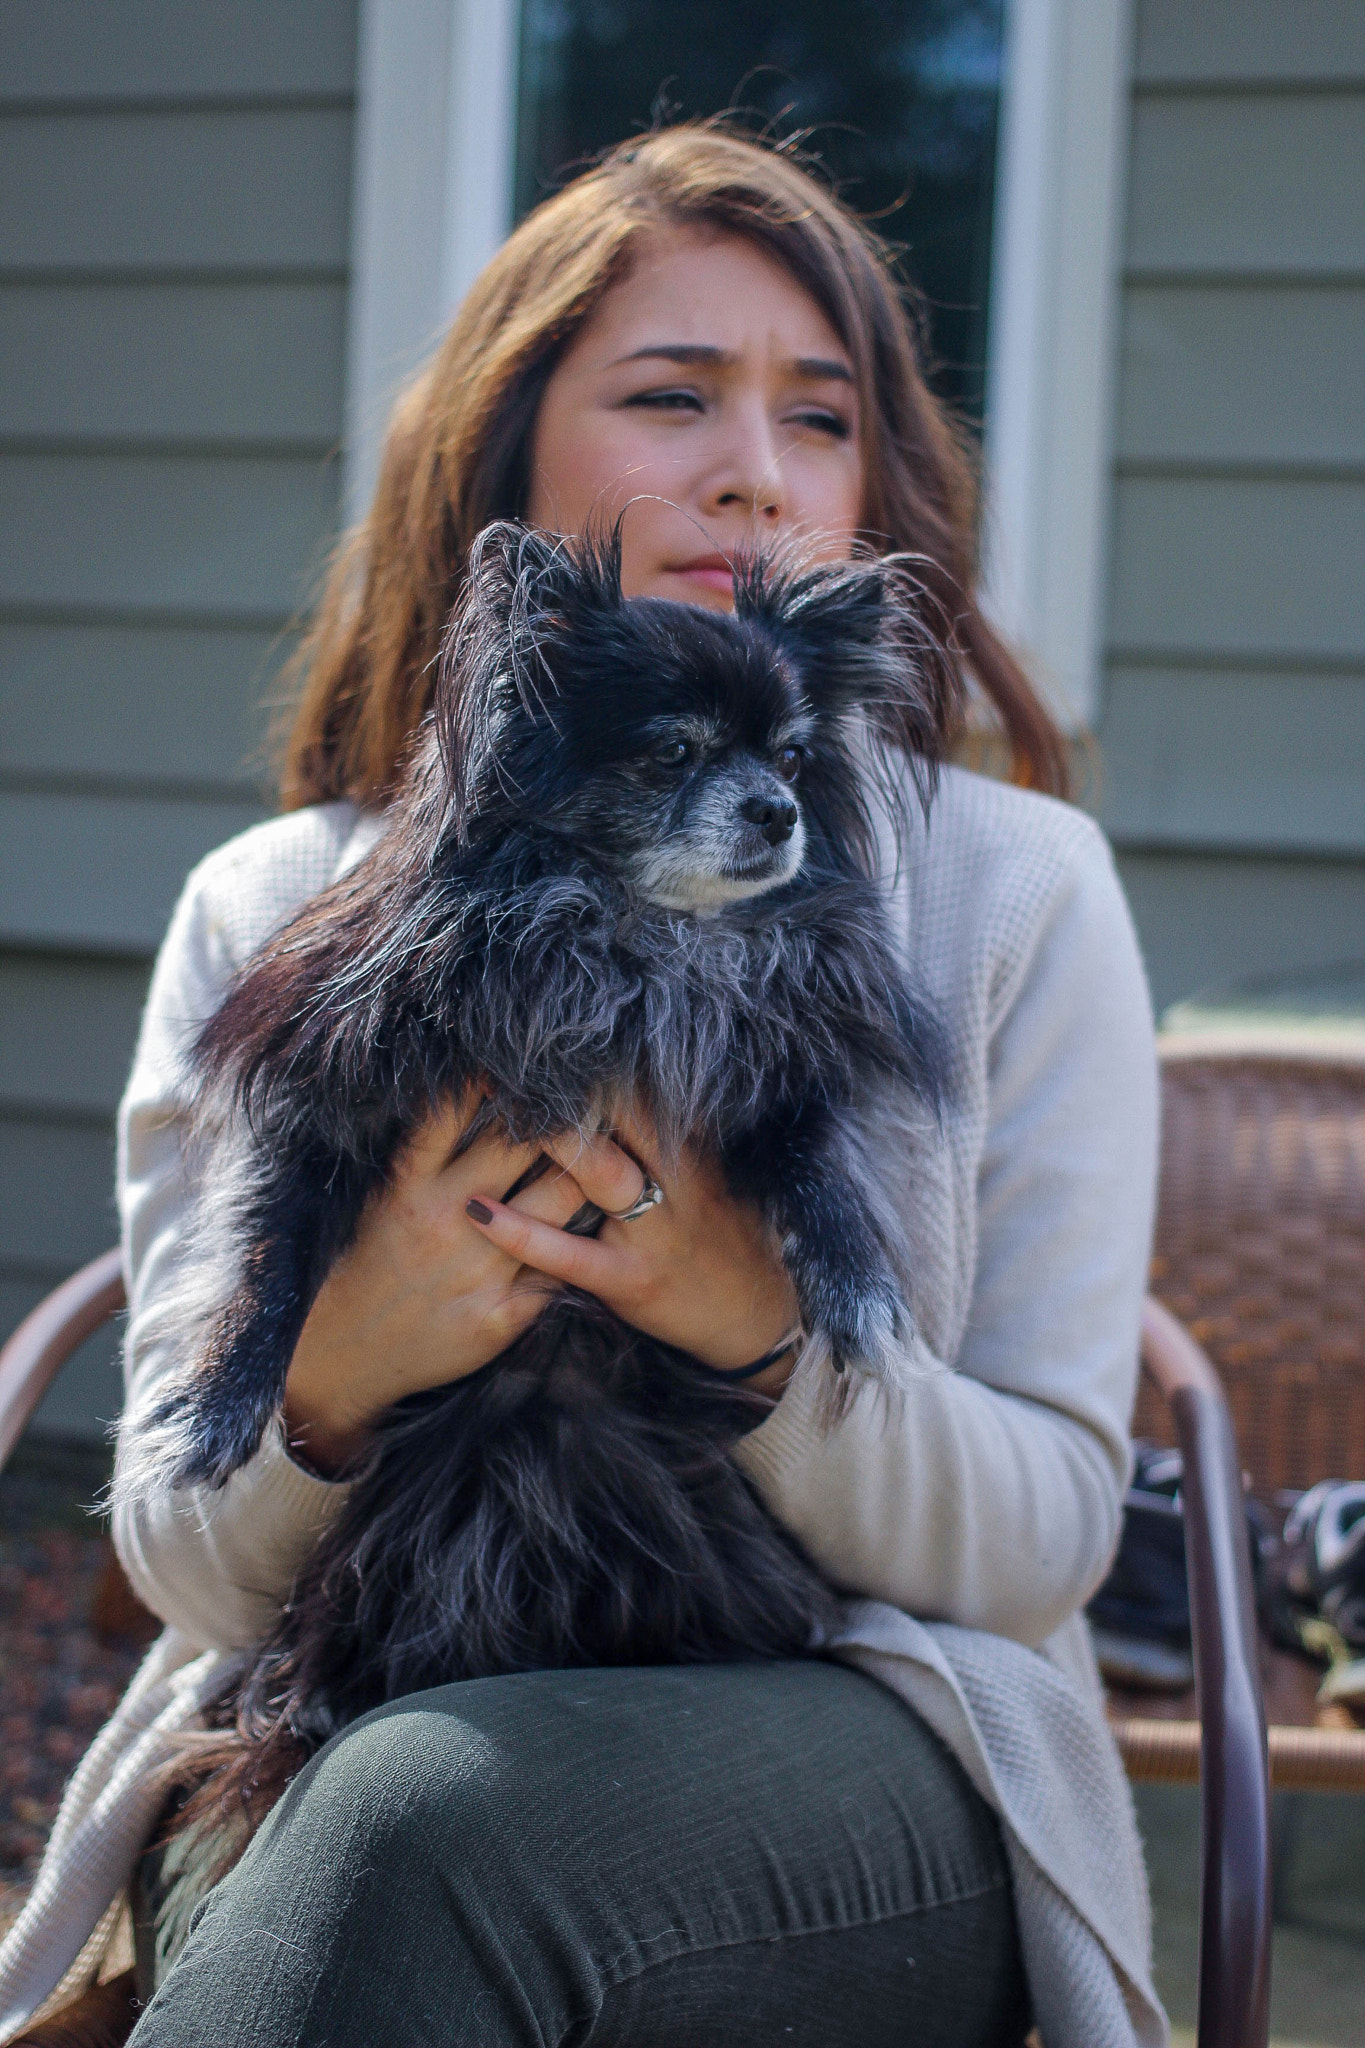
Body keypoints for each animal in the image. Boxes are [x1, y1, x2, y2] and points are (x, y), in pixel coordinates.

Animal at [130, 524, 961, 1826]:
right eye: (674, 750)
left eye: (792, 755)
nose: (778, 810)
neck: (629, 937)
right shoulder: (332, 1105)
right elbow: (270, 1254)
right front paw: (218, 1405)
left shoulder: (763, 1072)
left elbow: (817, 1160)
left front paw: (856, 1287)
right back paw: (309, 1695)